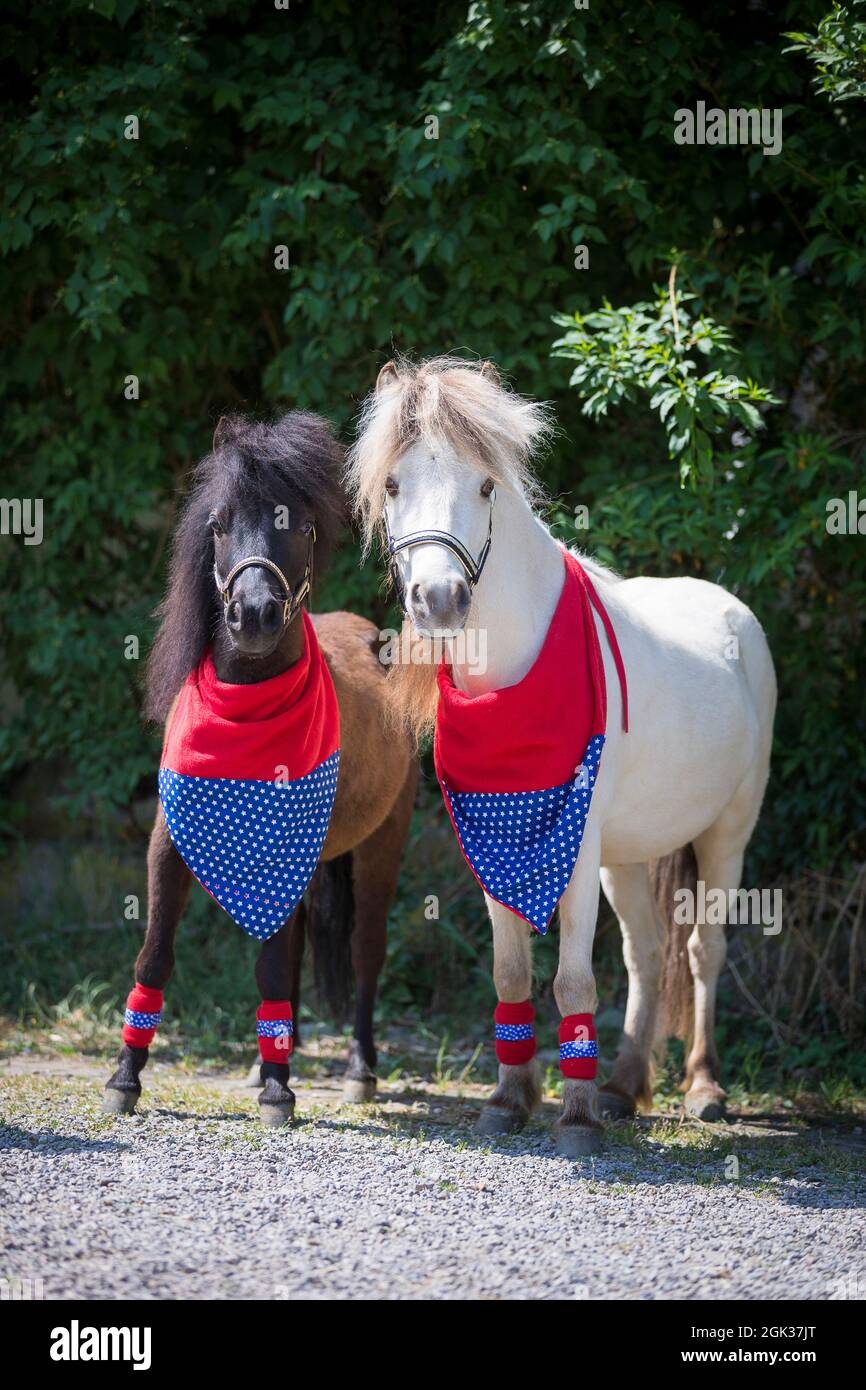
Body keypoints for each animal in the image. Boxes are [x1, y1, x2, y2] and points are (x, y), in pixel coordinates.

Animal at [103, 412, 417, 1125]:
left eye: (297, 525)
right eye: (218, 525)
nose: (252, 615)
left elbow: (275, 966)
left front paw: (280, 1091)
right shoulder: (169, 846)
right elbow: (154, 957)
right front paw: (125, 1077)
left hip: (382, 844)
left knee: (367, 950)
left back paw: (358, 1069)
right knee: (296, 945)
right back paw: (268, 1057)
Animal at [347, 355, 776, 1156]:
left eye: (485, 485)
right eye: (392, 485)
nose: (440, 600)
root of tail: (734, 613)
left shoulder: (572, 855)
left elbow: (574, 980)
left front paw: (573, 1120)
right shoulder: (495, 841)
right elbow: (511, 972)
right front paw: (510, 1100)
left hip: (726, 833)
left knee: (703, 950)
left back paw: (703, 1088)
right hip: (626, 854)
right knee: (647, 955)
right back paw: (622, 1086)